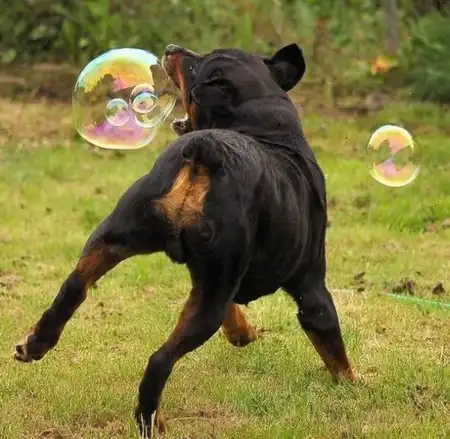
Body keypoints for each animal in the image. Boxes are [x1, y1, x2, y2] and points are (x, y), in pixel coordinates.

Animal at [14, 43, 356, 437]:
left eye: (194, 66)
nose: (171, 49)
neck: (263, 129)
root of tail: (209, 148)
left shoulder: (216, 278)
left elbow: (235, 310)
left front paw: (241, 332)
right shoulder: (311, 290)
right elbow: (336, 351)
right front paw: (355, 386)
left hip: (116, 235)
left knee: (74, 286)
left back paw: (36, 343)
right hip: (206, 303)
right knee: (160, 359)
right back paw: (150, 419)